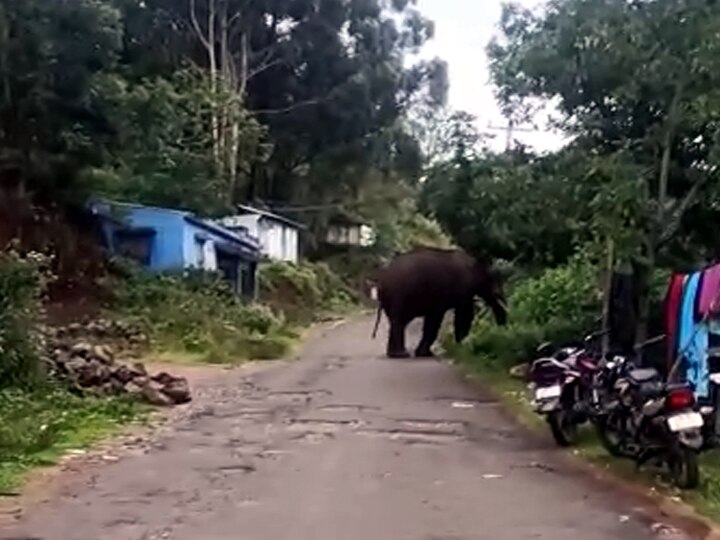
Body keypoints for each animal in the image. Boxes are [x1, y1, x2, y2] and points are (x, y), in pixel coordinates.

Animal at [372, 246, 506, 356]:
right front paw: (461, 347)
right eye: (494, 282)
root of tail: (382, 278)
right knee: (399, 321)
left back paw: (395, 354)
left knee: (397, 321)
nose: (502, 327)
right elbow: (462, 316)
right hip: (400, 294)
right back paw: (401, 354)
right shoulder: (463, 289)